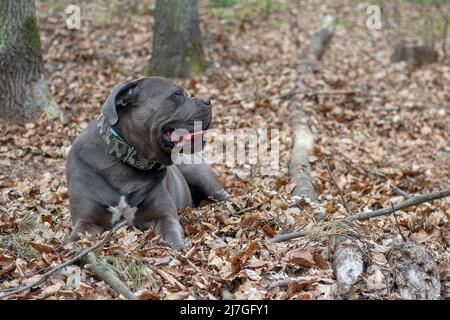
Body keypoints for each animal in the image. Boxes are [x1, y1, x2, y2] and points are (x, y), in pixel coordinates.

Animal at [66, 77, 229, 248]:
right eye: (177, 94)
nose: (208, 101)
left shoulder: (164, 215)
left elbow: (171, 232)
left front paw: (179, 248)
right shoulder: (86, 221)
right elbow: (75, 239)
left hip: (197, 173)